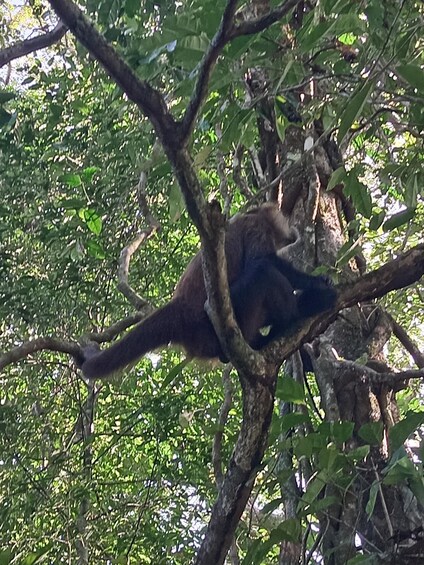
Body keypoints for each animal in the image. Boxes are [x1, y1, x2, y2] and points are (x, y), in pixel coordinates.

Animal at [78, 204, 338, 378]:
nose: (293, 227)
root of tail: (179, 308)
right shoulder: (256, 226)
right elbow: (262, 261)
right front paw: (318, 283)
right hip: (217, 324)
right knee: (262, 272)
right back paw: (296, 315)